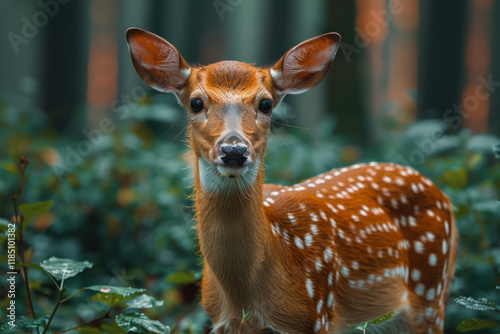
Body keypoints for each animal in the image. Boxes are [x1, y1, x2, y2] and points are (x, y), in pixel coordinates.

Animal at [125, 27, 458, 332]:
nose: (234, 150)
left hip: (431, 290)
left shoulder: (319, 314)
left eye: (266, 104)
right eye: (195, 103)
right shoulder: (219, 320)